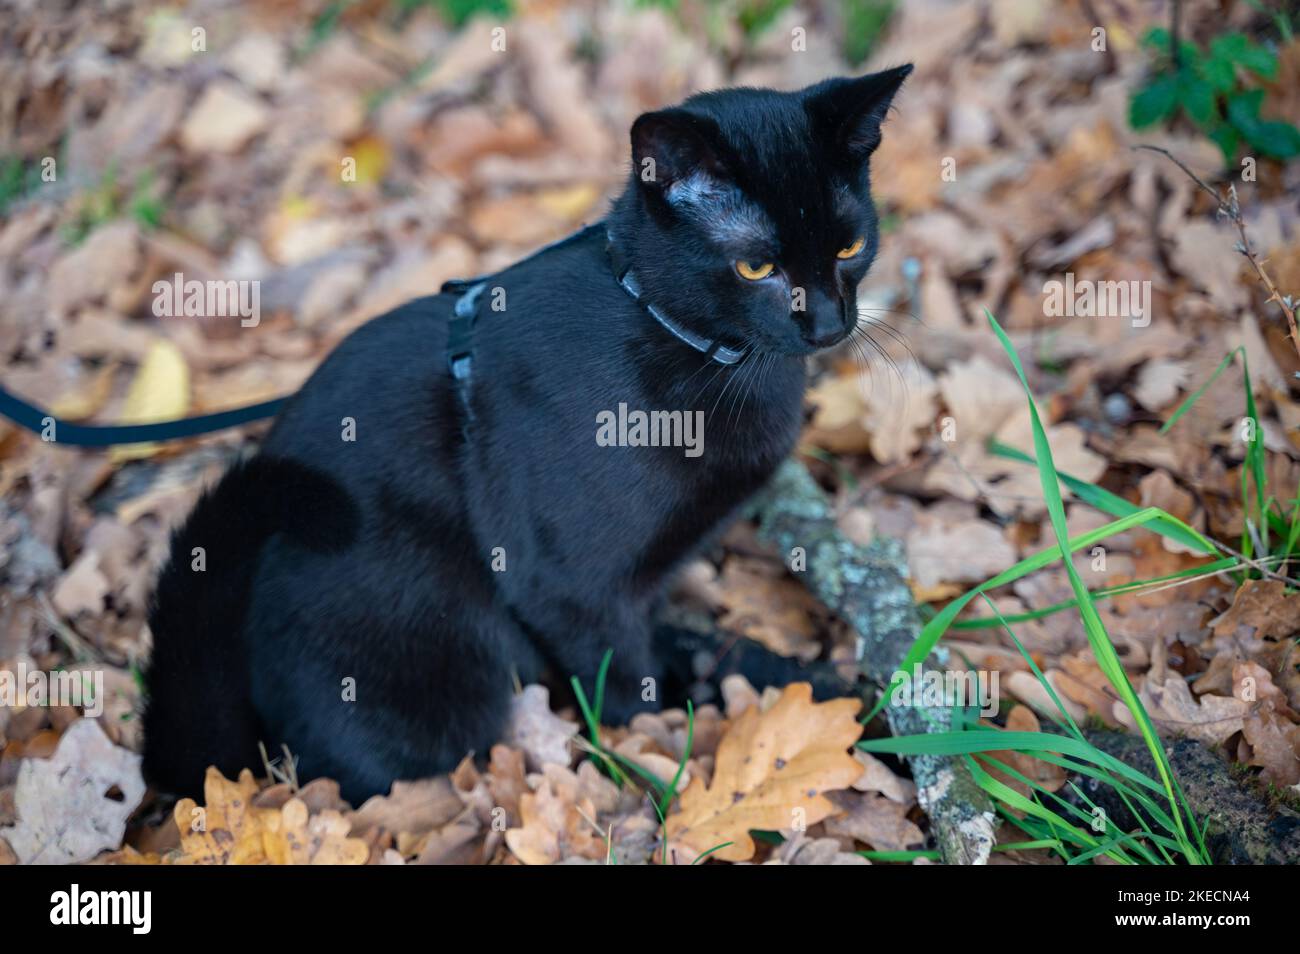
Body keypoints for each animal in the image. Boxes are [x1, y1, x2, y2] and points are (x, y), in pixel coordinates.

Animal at [142, 65, 909, 805]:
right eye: (757, 266)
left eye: (849, 245)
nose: (829, 324)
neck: (679, 338)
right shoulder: (568, 586)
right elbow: (626, 691)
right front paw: (652, 748)